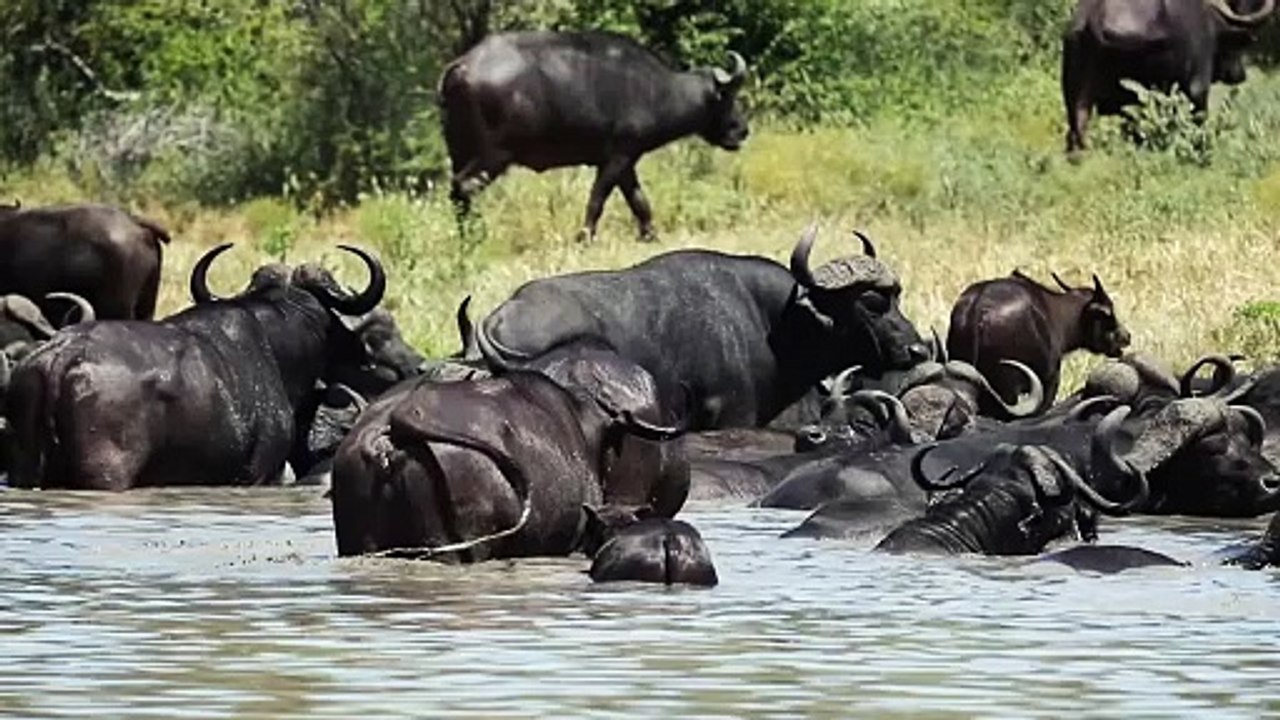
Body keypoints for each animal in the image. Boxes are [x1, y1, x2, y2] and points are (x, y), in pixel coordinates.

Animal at [440, 30, 748, 241]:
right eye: (728, 96)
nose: (743, 130)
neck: (655, 90)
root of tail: (463, 65)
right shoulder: (617, 157)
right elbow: (598, 198)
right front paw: (585, 235)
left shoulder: (626, 161)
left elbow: (638, 200)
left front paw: (649, 234)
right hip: (494, 155)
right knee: (463, 187)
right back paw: (475, 236)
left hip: (460, 151)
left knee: (457, 192)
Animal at [478, 225, 929, 430]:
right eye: (871, 303)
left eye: (899, 295)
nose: (918, 350)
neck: (775, 323)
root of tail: (499, 318)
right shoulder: (735, 419)